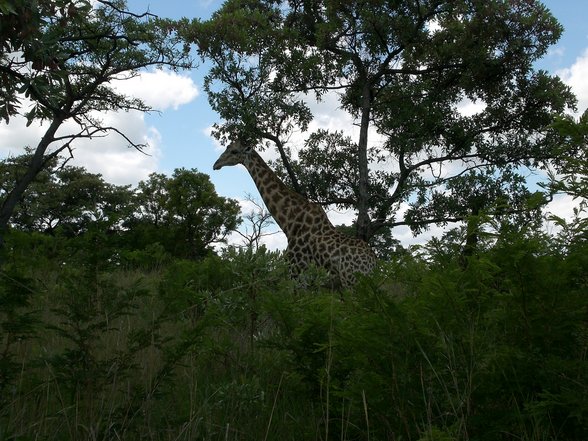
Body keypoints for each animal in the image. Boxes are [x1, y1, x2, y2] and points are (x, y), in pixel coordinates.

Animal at [212, 139, 376, 288]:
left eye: (234, 151)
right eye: (227, 147)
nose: (216, 164)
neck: (289, 221)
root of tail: (374, 266)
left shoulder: (296, 268)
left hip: (351, 282)